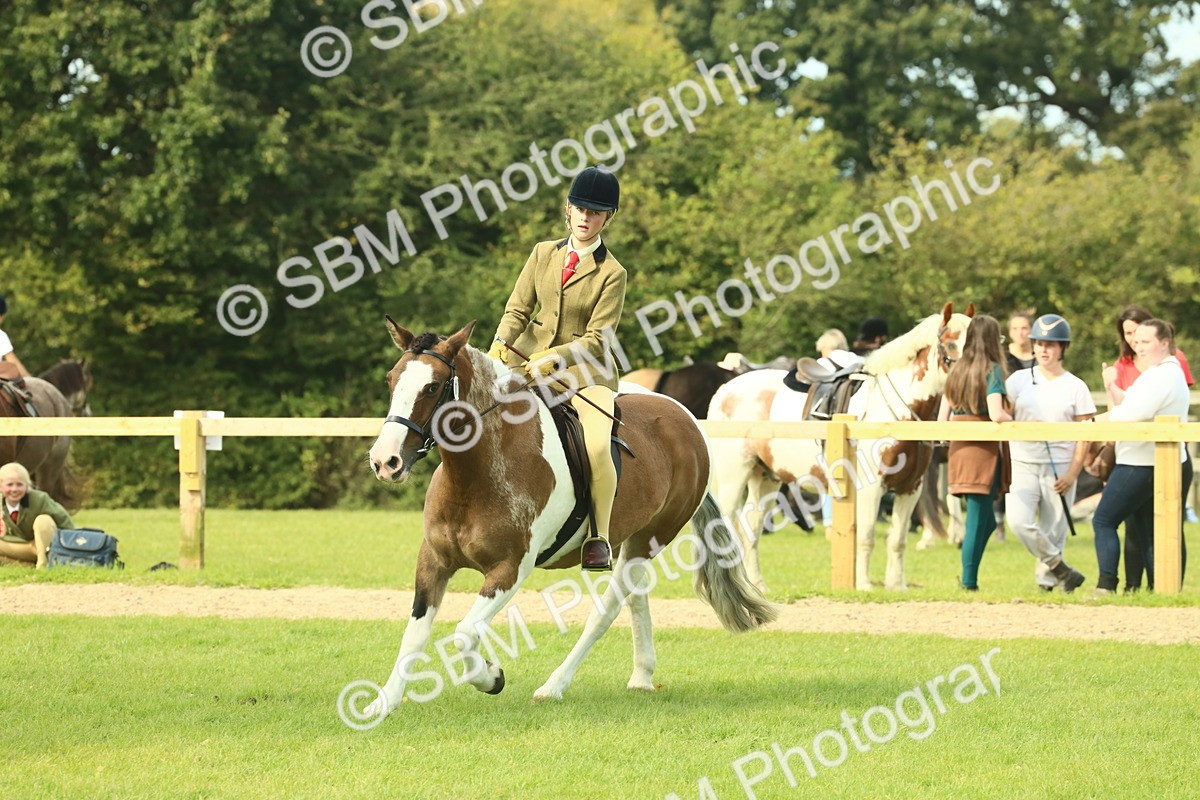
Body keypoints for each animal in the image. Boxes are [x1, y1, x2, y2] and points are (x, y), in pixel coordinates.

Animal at [364, 319, 776, 718]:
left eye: (432, 387)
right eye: (390, 379)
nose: (385, 461)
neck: (473, 475)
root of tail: (687, 420)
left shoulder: (509, 569)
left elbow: (465, 633)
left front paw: (491, 677)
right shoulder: (433, 560)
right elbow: (415, 633)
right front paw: (384, 703)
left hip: (650, 539)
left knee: (606, 611)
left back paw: (554, 686)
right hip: (630, 539)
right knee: (636, 600)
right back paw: (642, 677)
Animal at [707, 302, 975, 591]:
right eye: (950, 344)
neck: (895, 410)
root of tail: (725, 390)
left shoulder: (909, 489)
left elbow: (898, 540)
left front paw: (896, 586)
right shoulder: (872, 489)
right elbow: (867, 536)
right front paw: (865, 585)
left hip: (765, 478)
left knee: (752, 529)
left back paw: (757, 585)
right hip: (735, 477)